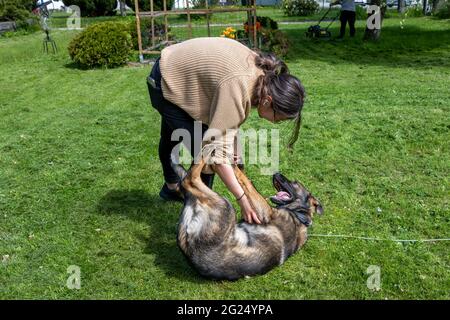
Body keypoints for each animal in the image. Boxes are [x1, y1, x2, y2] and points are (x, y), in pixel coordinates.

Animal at [172, 160, 324, 280]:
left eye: (295, 183)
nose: (276, 173)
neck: (299, 215)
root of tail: (190, 254)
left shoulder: (264, 212)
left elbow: (247, 183)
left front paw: (234, 166)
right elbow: (246, 180)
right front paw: (239, 165)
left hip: (225, 205)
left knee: (189, 180)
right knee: (185, 184)